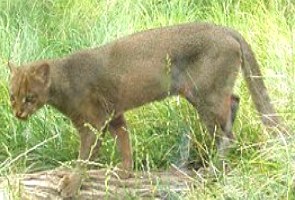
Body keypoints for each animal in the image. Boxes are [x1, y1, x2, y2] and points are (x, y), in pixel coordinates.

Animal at [7, 22, 286, 197]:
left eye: (30, 97)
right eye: (12, 96)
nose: (18, 113)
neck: (62, 81)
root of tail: (226, 28)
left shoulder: (92, 124)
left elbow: (84, 157)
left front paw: (71, 185)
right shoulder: (114, 114)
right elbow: (124, 140)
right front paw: (125, 171)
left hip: (206, 96)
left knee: (228, 132)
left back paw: (214, 168)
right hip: (201, 95)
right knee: (234, 102)